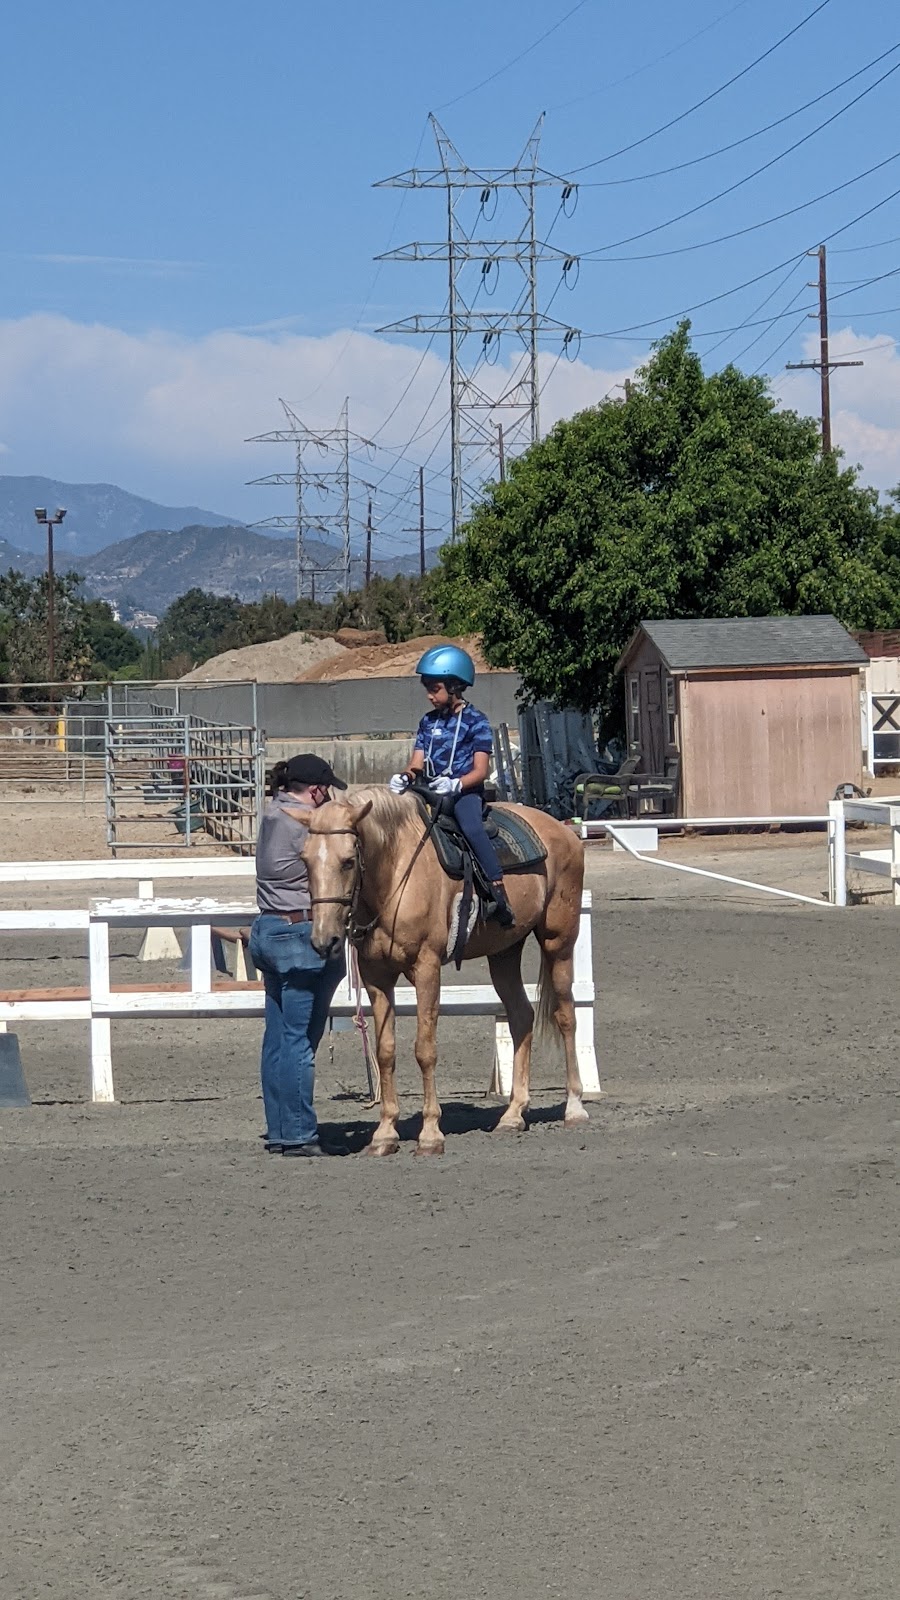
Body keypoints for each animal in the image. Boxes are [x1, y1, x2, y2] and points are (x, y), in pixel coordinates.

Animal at [294, 787, 589, 1152]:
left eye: (348, 861)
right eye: (305, 860)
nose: (325, 940)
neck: (396, 872)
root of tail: (562, 830)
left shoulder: (427, 967)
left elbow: (425, 1049)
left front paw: (431, 1133)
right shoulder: (376, 977)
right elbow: (385, 1051)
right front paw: (385, 1134)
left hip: (558, 943)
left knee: (566, 1016)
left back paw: (574, 1107)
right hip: (504, 953)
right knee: (522, 1017)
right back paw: (513, 1114)